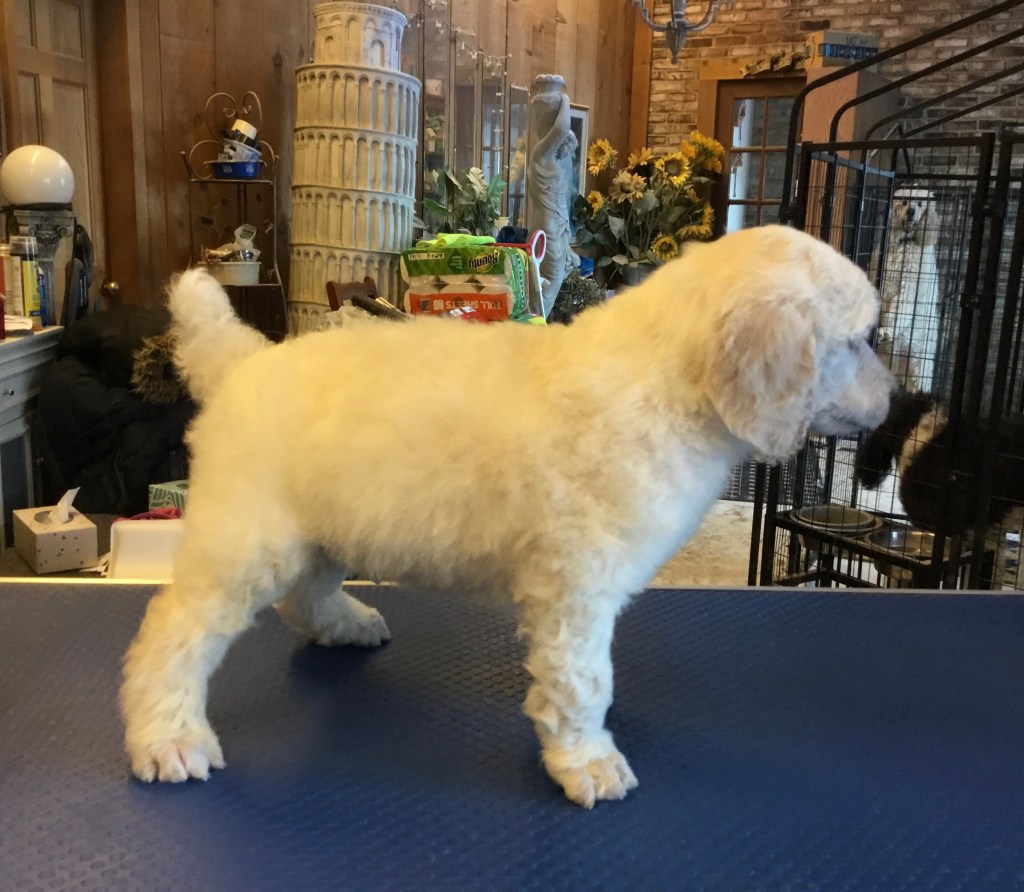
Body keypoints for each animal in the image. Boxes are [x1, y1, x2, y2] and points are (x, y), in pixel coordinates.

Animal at [120, 225, 892, 807]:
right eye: (857, 340)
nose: (893, 401)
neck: (666, 381)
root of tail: (241, 362)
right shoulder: (575, 593)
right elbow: (582, 681)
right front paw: (588, 761)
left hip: (322, 529)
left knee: (302, 598)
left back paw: (345, 624)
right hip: (249, 545)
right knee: (173, 636)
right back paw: (169, 738)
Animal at [875, 188, 941, 393]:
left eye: (920, 204)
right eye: (904, 201)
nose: (911, 211)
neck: (904, 243)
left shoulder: (908, 288)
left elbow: (898, 311)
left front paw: (887, 330)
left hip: (920, 359)